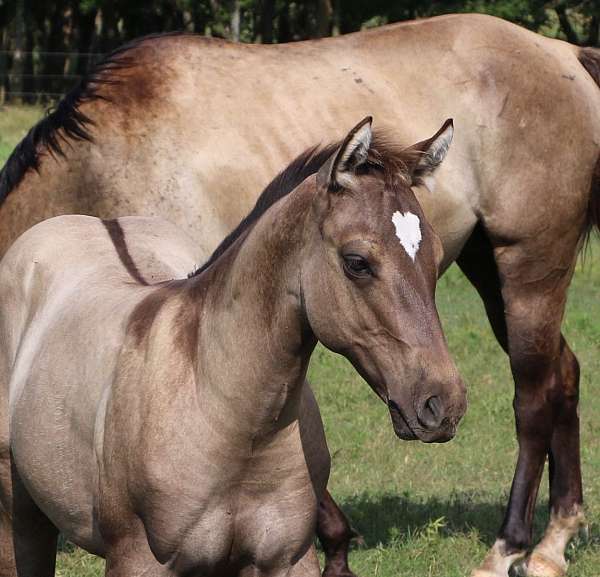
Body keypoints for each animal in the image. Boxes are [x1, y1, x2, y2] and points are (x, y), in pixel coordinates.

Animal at [0, 118, 464, 576]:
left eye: (437, 255)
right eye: (357, 262)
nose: (443, 403)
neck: (231, 423)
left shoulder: (289, 559)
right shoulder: (138, 560)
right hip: (21, 522)